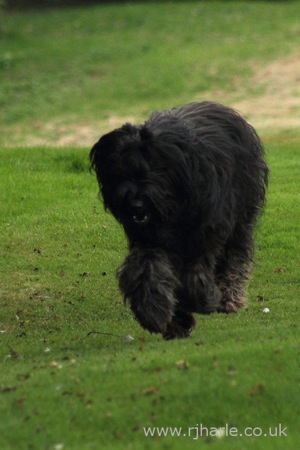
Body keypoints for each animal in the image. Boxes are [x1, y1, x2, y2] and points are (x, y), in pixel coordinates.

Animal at [90, 102, 268, 340]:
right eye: (121, 170)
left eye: (153, 169)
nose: (136, 204)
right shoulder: (150, 240)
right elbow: (147, 270)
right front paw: (157, 313)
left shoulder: (205, 231)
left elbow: (195, 275)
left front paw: (201, 302)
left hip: (240, 211)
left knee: (235, 254)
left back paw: (229, 298)